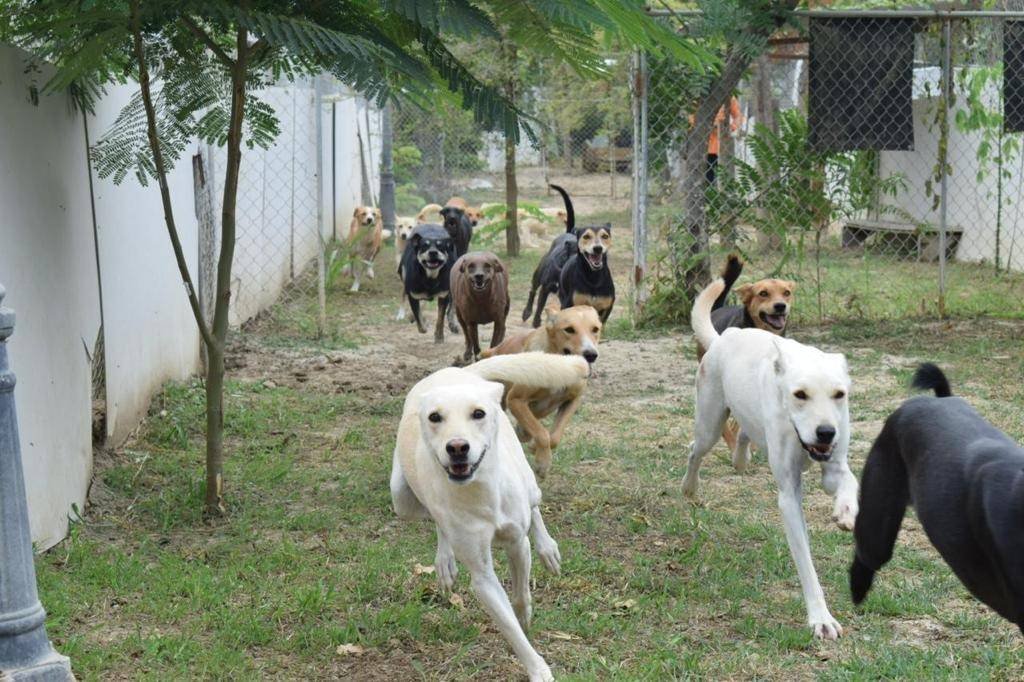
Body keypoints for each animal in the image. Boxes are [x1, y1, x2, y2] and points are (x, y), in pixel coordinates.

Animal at [387, 350, 589, 679]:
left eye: (478, 414)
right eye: (434, 417)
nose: (457, 447)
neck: (479, 492)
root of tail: (458, 372)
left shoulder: (517, 543)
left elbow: (520, 595)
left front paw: (525, 617)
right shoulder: (482, 576)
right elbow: (507, 624)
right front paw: (537, 668)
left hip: (526, 477)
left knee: (534, 506)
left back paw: (548, 549)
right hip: (402, 497)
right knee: (435, 519)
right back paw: (445, 562)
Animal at [479, 305, 598, 475]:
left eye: (595, 329)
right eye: (569, 329)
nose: (591, 354)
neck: (559, 367)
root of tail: (495, 350)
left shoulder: (573, 400)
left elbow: (554, 437)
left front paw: (536, 449)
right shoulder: (516, 400)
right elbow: (542, 434)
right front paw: (543, 463)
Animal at [520, 183, 614, 327]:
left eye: (605, 236)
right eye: (586, 237)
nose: (597, 248)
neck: (592, 277)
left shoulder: (604, 307)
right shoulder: (549, 288)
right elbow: (540, 304)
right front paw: (536, 321)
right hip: (539, 274)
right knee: (533, 290)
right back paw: (527, 312)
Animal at [684, 270, 860, 638]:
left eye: (839, 394)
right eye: (800, 394)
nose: (826, 432)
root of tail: (726, 337)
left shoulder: (833, 465)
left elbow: (848, 481)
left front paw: (846, 510)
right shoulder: (789, 495)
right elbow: (806, 564)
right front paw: (820, 618)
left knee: (743, 436)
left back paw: (740, 459)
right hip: (709, 424)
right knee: (696, 450)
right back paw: (689, 488)